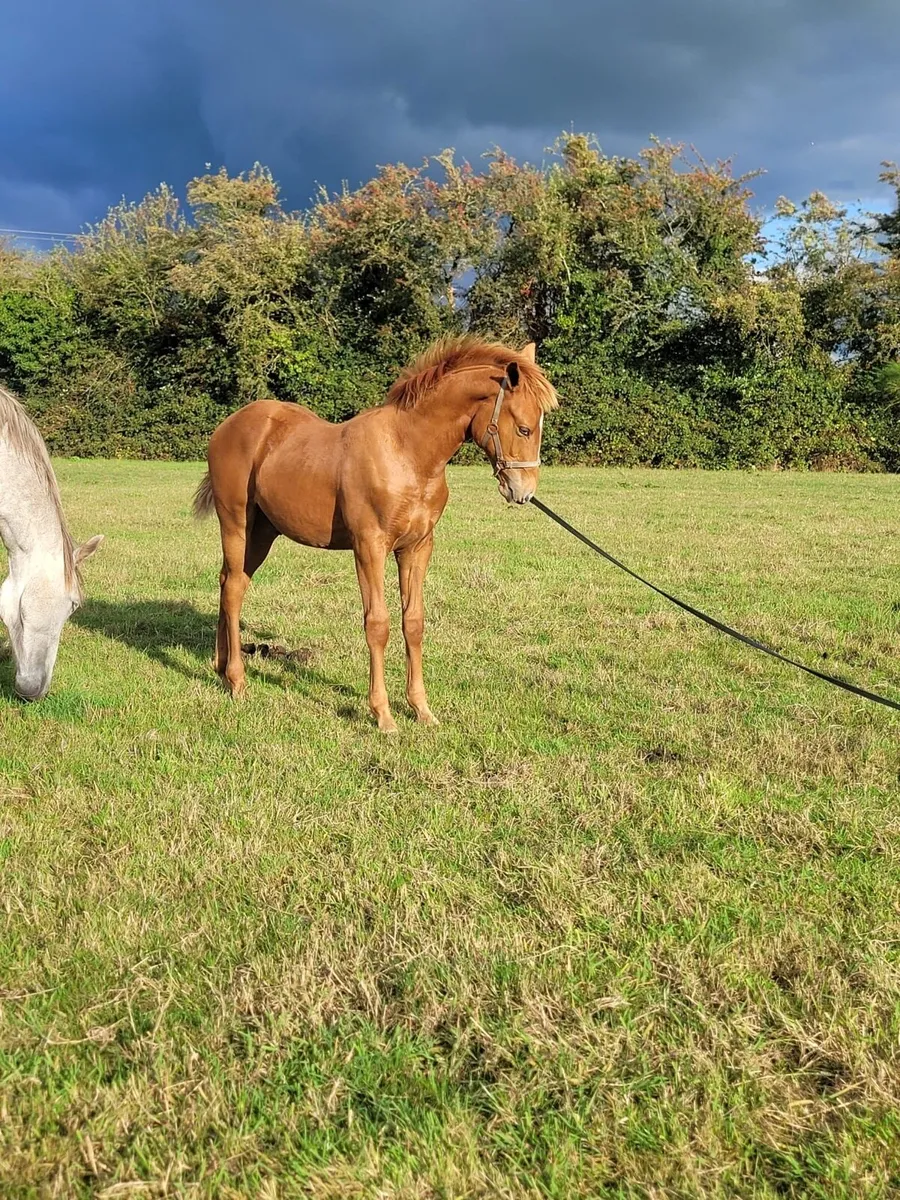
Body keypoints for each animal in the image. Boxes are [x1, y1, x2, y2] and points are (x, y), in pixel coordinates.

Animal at [193, 336, 558, 731]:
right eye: (523, 428)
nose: (524, 492)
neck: (407, 453)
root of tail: (228, 426)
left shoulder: (417, 548)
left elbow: (413, 622)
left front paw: (421, 709)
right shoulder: (369, 547)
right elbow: (378, 624)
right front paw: (383, 715)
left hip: (262, 534)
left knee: (230, 582)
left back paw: (220, 667)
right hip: (236, 525)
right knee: (232, 590)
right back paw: (237, 681)